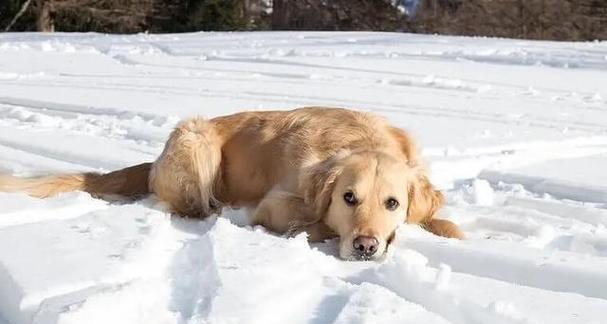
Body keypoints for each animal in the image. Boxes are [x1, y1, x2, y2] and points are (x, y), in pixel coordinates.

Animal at [1, 107, 466, 260]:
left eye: (392, 203)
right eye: (348, 197)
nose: (366, 247)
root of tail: (153, 160)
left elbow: (438, 218)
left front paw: (448, 230)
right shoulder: (277, 201)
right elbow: (310, 219)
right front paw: (318, 230)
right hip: (196, 138)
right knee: (192, 206)